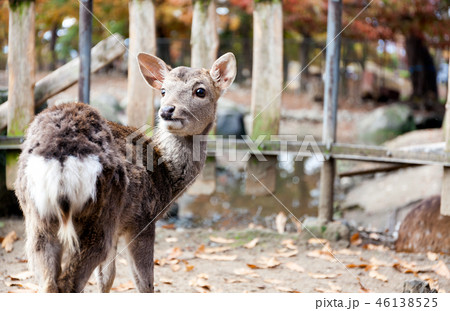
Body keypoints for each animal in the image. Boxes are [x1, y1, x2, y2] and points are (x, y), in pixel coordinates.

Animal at [15, 52, 237, 294]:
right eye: (163, 91)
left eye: (200, 91)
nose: (167, 111)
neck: (165, 177)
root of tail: (60, 152)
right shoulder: (142, 220)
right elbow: (144, 282)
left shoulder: (118, 229)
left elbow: (107, 277)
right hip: (101, 211)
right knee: (69, 283)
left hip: (36, 214)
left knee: (48, 280)